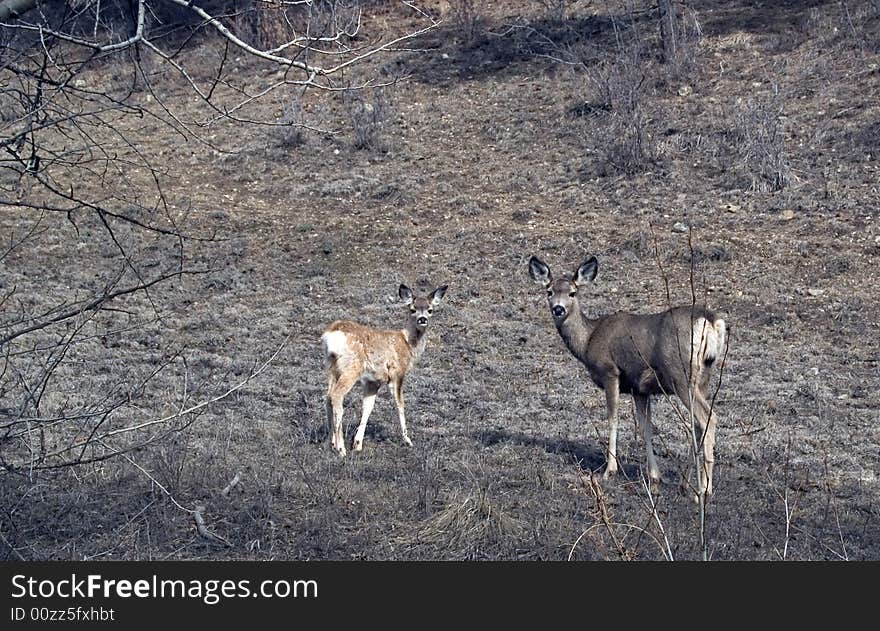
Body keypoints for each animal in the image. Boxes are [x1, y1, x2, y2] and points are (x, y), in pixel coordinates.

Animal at [322, 284, 446, 456]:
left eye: (430, 309)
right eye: (412, 309)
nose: (423, 319)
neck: (408, 344)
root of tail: (332, 334)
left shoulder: (372, 381)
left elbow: (367, 407)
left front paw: (357, 444)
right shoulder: (397, 373)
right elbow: (400, 403)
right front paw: (407, 440)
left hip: (332, 366)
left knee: (328, 397)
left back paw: (331, 443)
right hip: (351, 368)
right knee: (336, 396)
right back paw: (341, 448)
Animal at [528, 256, 728, 498]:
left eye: (572, 293)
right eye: (549, 291)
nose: (558, 308)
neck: (588, 340)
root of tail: (712, 321)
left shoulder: (610, 371)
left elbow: (612, 418)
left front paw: (609, 470)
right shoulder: (639, 389)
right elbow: (646, 428)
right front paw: (654, 475)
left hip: (680, 374)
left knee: (707, 417)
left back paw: (705, 488)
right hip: (705, 374)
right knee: (698, 423)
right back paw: (685, 483)